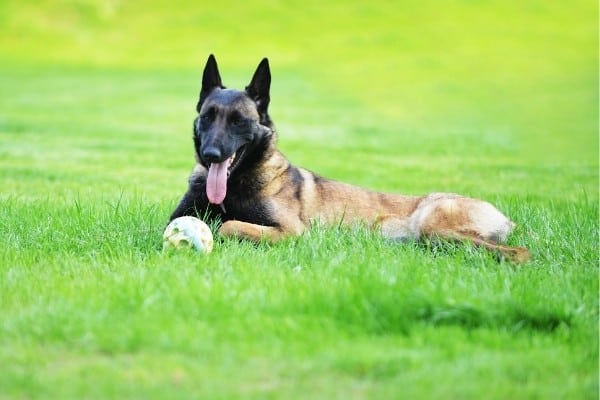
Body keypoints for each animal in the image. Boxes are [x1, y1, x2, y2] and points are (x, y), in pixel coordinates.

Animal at [170, 55, 528, 262]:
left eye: (238, 121)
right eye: (208, 116)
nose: (210, 154)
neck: (238, 183)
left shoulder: (292, 232)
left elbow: (229, 225)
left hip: (433, 224)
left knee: (519, 252)